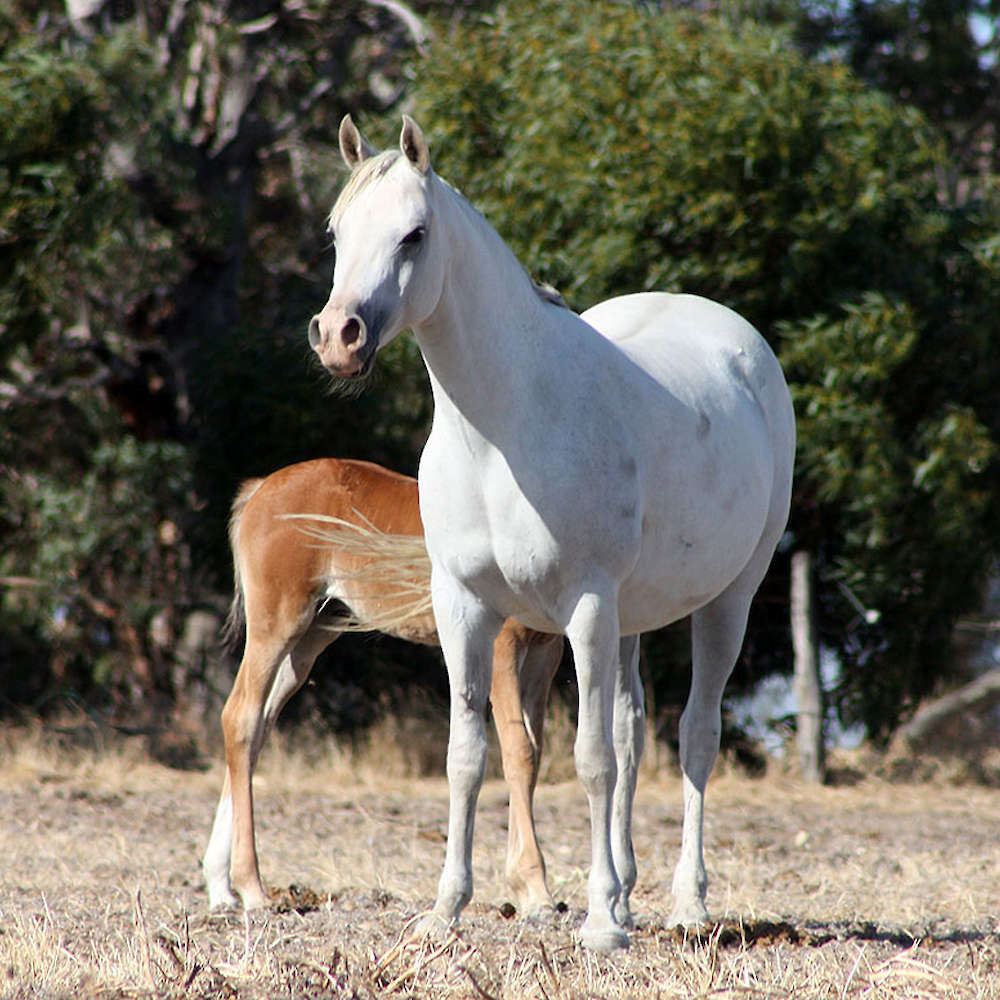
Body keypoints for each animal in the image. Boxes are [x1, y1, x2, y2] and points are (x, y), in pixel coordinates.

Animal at [201, 457, 563, 917]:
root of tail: (261, 489)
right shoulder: (501, 650)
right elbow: (518, 753)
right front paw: (535, 891)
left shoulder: (544, 656)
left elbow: (533, 755)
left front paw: (525, 887)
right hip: (277, 623)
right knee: (241, 717)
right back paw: (250, 888)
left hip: (312, 637)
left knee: (258, 727)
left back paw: (221, 887)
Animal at [308, 115, 795, 952]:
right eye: (338, 232)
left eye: (414, 233)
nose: (340, 336)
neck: (503, 430)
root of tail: (743, 347)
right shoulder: (464, 607)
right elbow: (469, 756)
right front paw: (444, 913)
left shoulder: (587, 607)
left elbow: (590, 759)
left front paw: (599, 925)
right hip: (634, 618)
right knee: (634, 732)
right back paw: (630, 893)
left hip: (728, 597)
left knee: (695, 736)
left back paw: (685, 904)